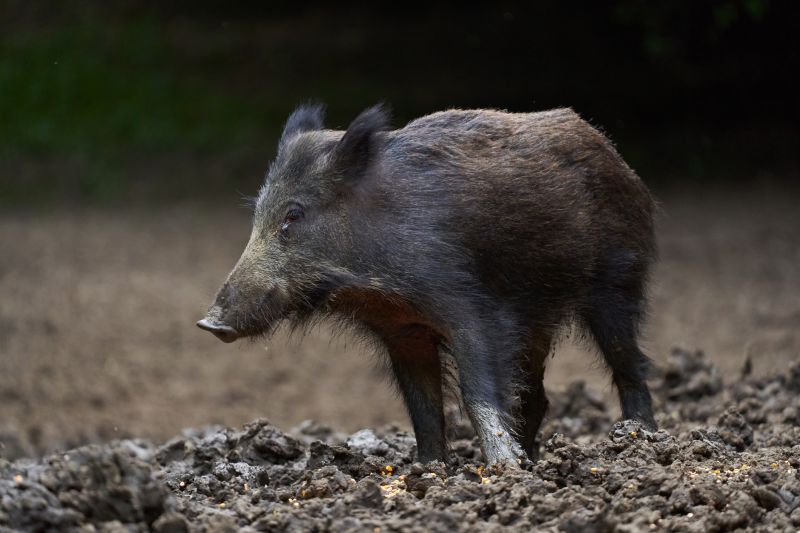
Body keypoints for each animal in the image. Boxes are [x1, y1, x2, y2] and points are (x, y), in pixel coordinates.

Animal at [197, 103, 658, 466]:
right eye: (258, 213)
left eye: (294, 214)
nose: (209, 323)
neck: (376, 287)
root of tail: (613, 154)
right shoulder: (403, 331)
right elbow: (422, 406)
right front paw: (429, 467)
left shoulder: (475, 311)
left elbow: (476, 392)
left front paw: (503, 469)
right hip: (540, 320)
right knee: (535, 394)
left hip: (617, 281)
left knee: (630, 365)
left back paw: (640, 439)